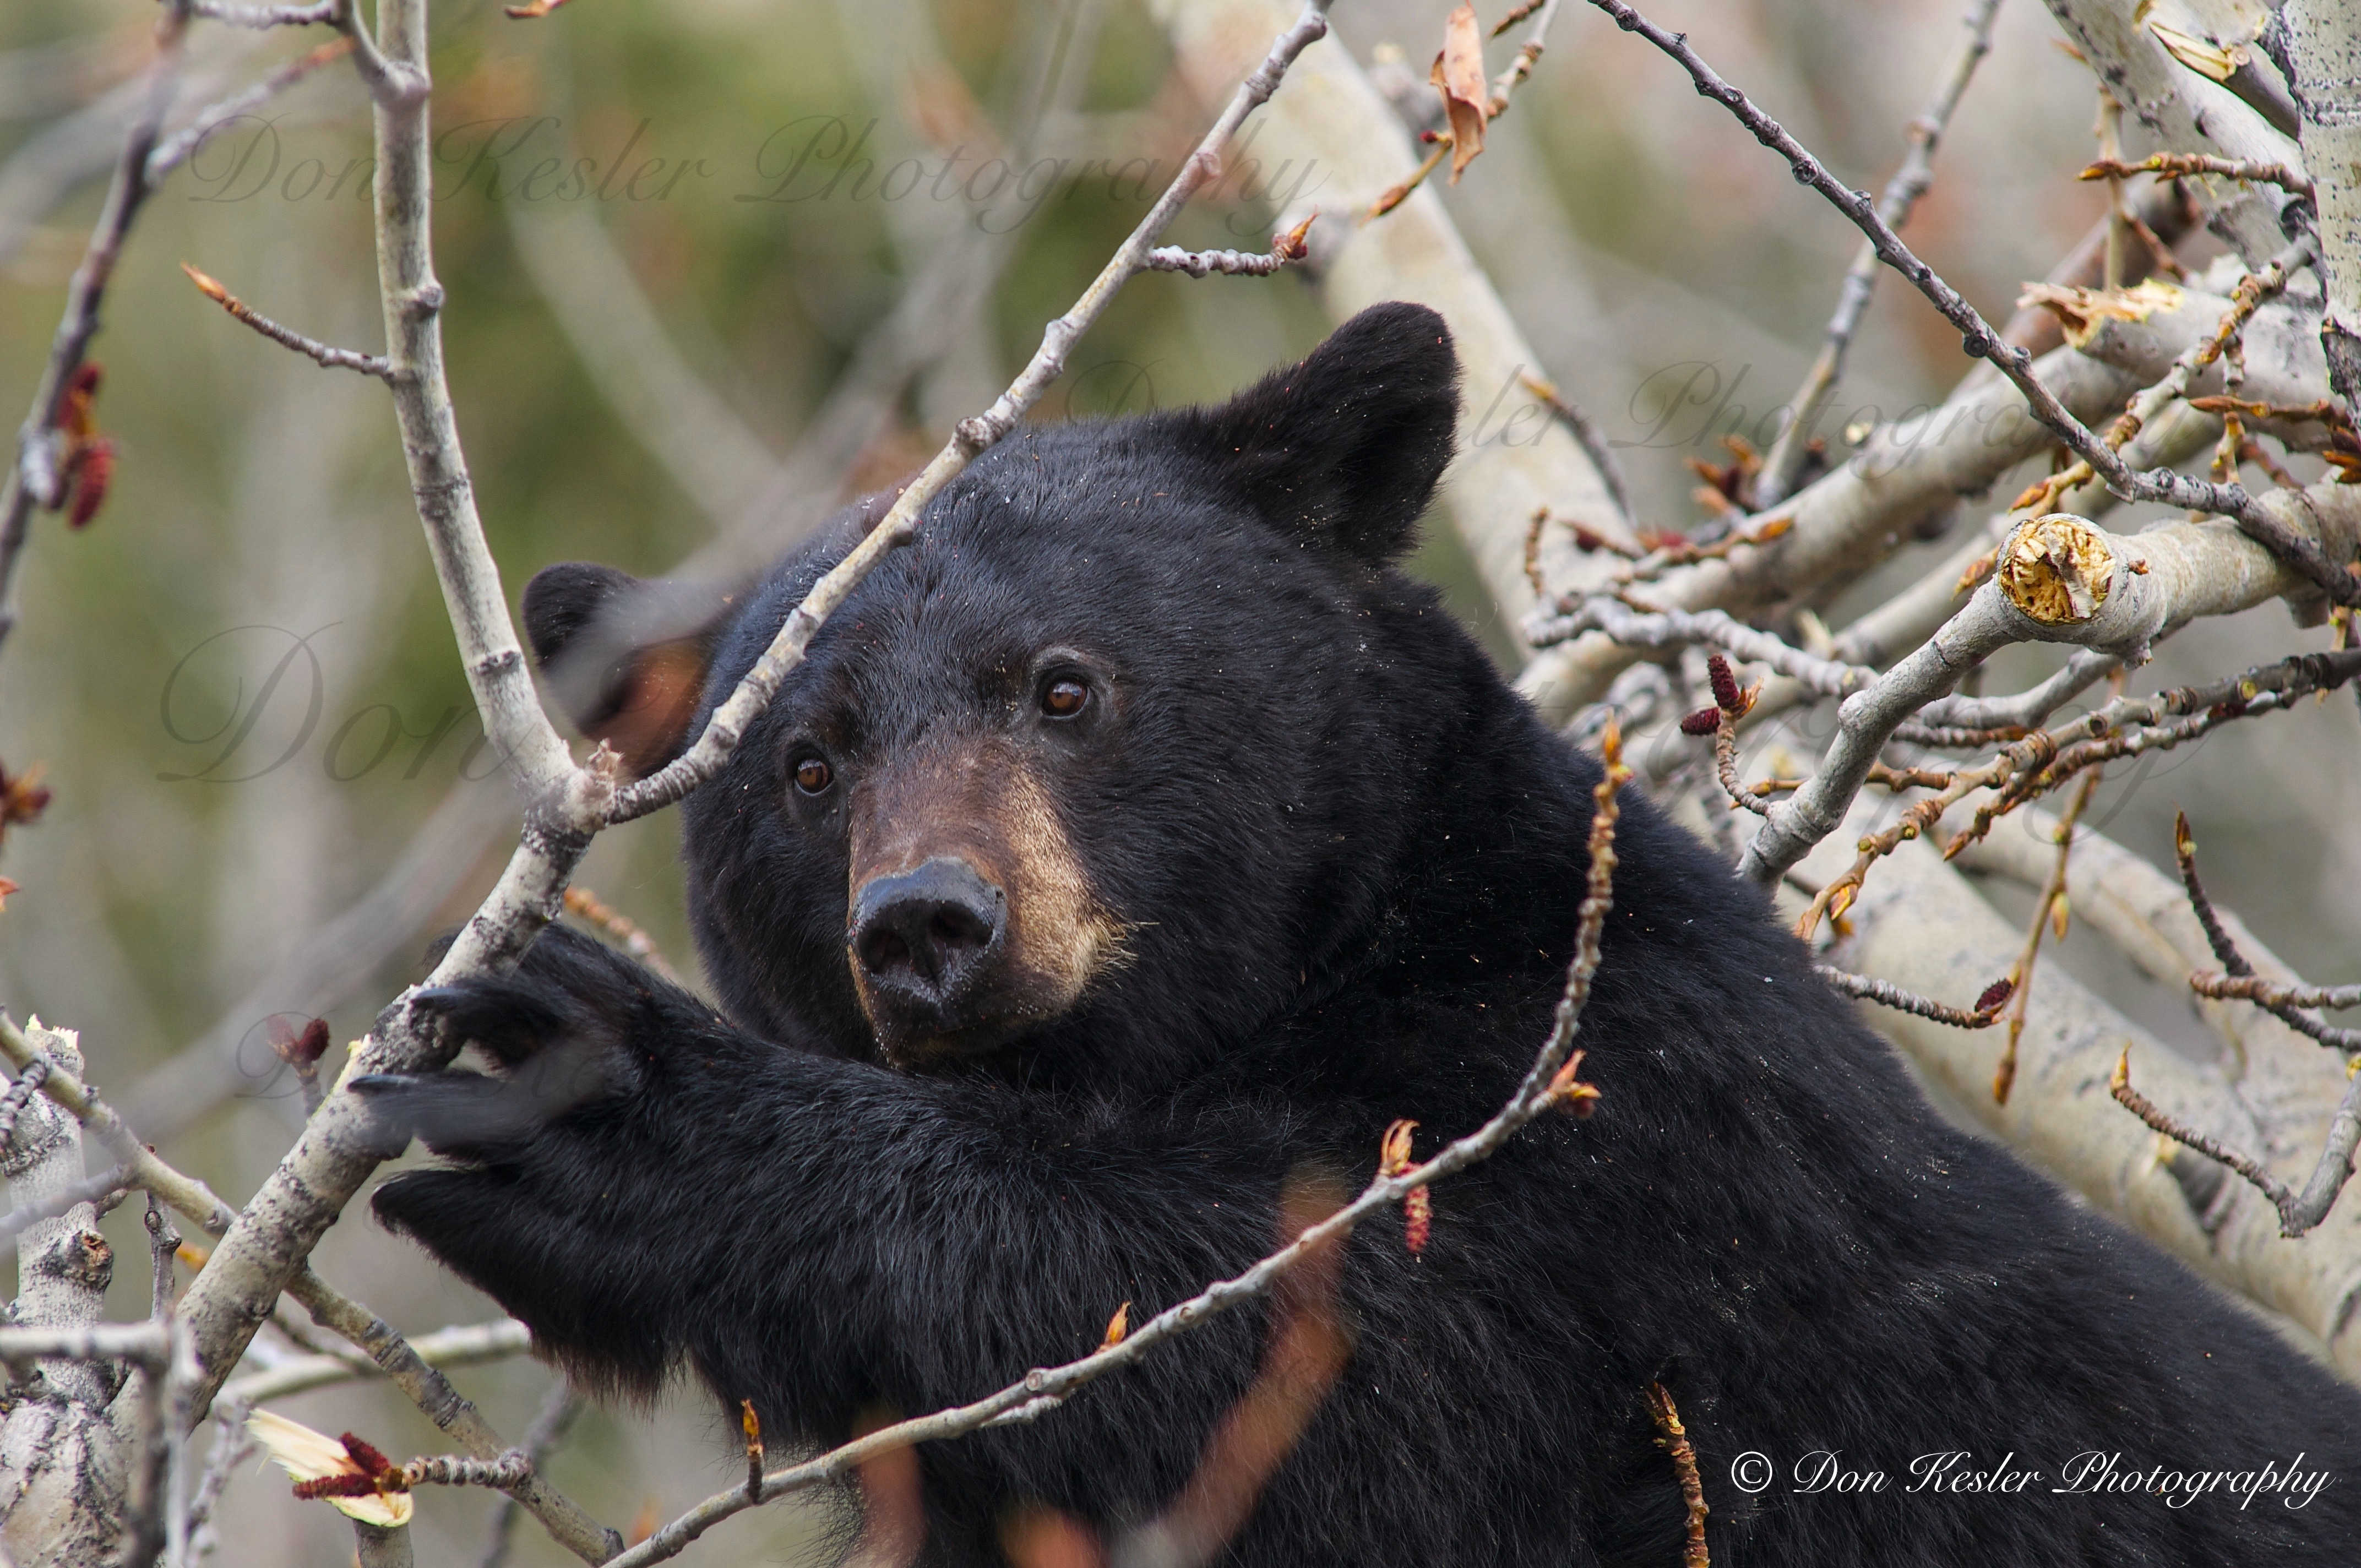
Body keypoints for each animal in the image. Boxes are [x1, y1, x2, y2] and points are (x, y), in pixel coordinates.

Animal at [365, 303, 2361, 1566]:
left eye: (1066, 684)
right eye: (805, 759)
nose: (925, 925)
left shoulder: (1620, 1127)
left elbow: (1345, 1390)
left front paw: (597, 1086)